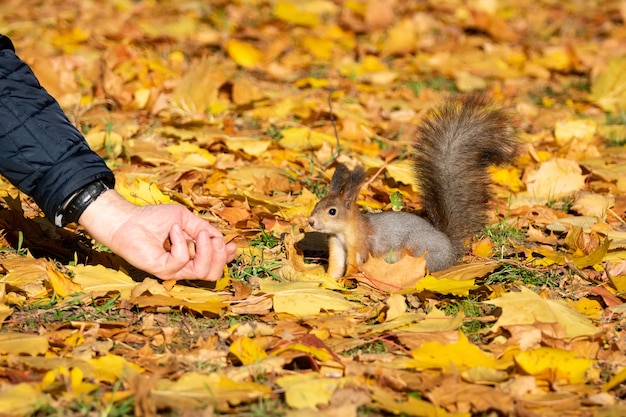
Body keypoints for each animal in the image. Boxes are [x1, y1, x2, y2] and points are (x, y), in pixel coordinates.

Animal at [306, 94, 516, 276]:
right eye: (317, 204)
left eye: (332, 211)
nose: (311, 222)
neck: (342, 232)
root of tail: (450, 249)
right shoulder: (336, 247)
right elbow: (335, 266)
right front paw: (327, 280)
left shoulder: (360, 246)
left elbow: (353, 266)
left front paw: (347, 280)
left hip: (418, 252)